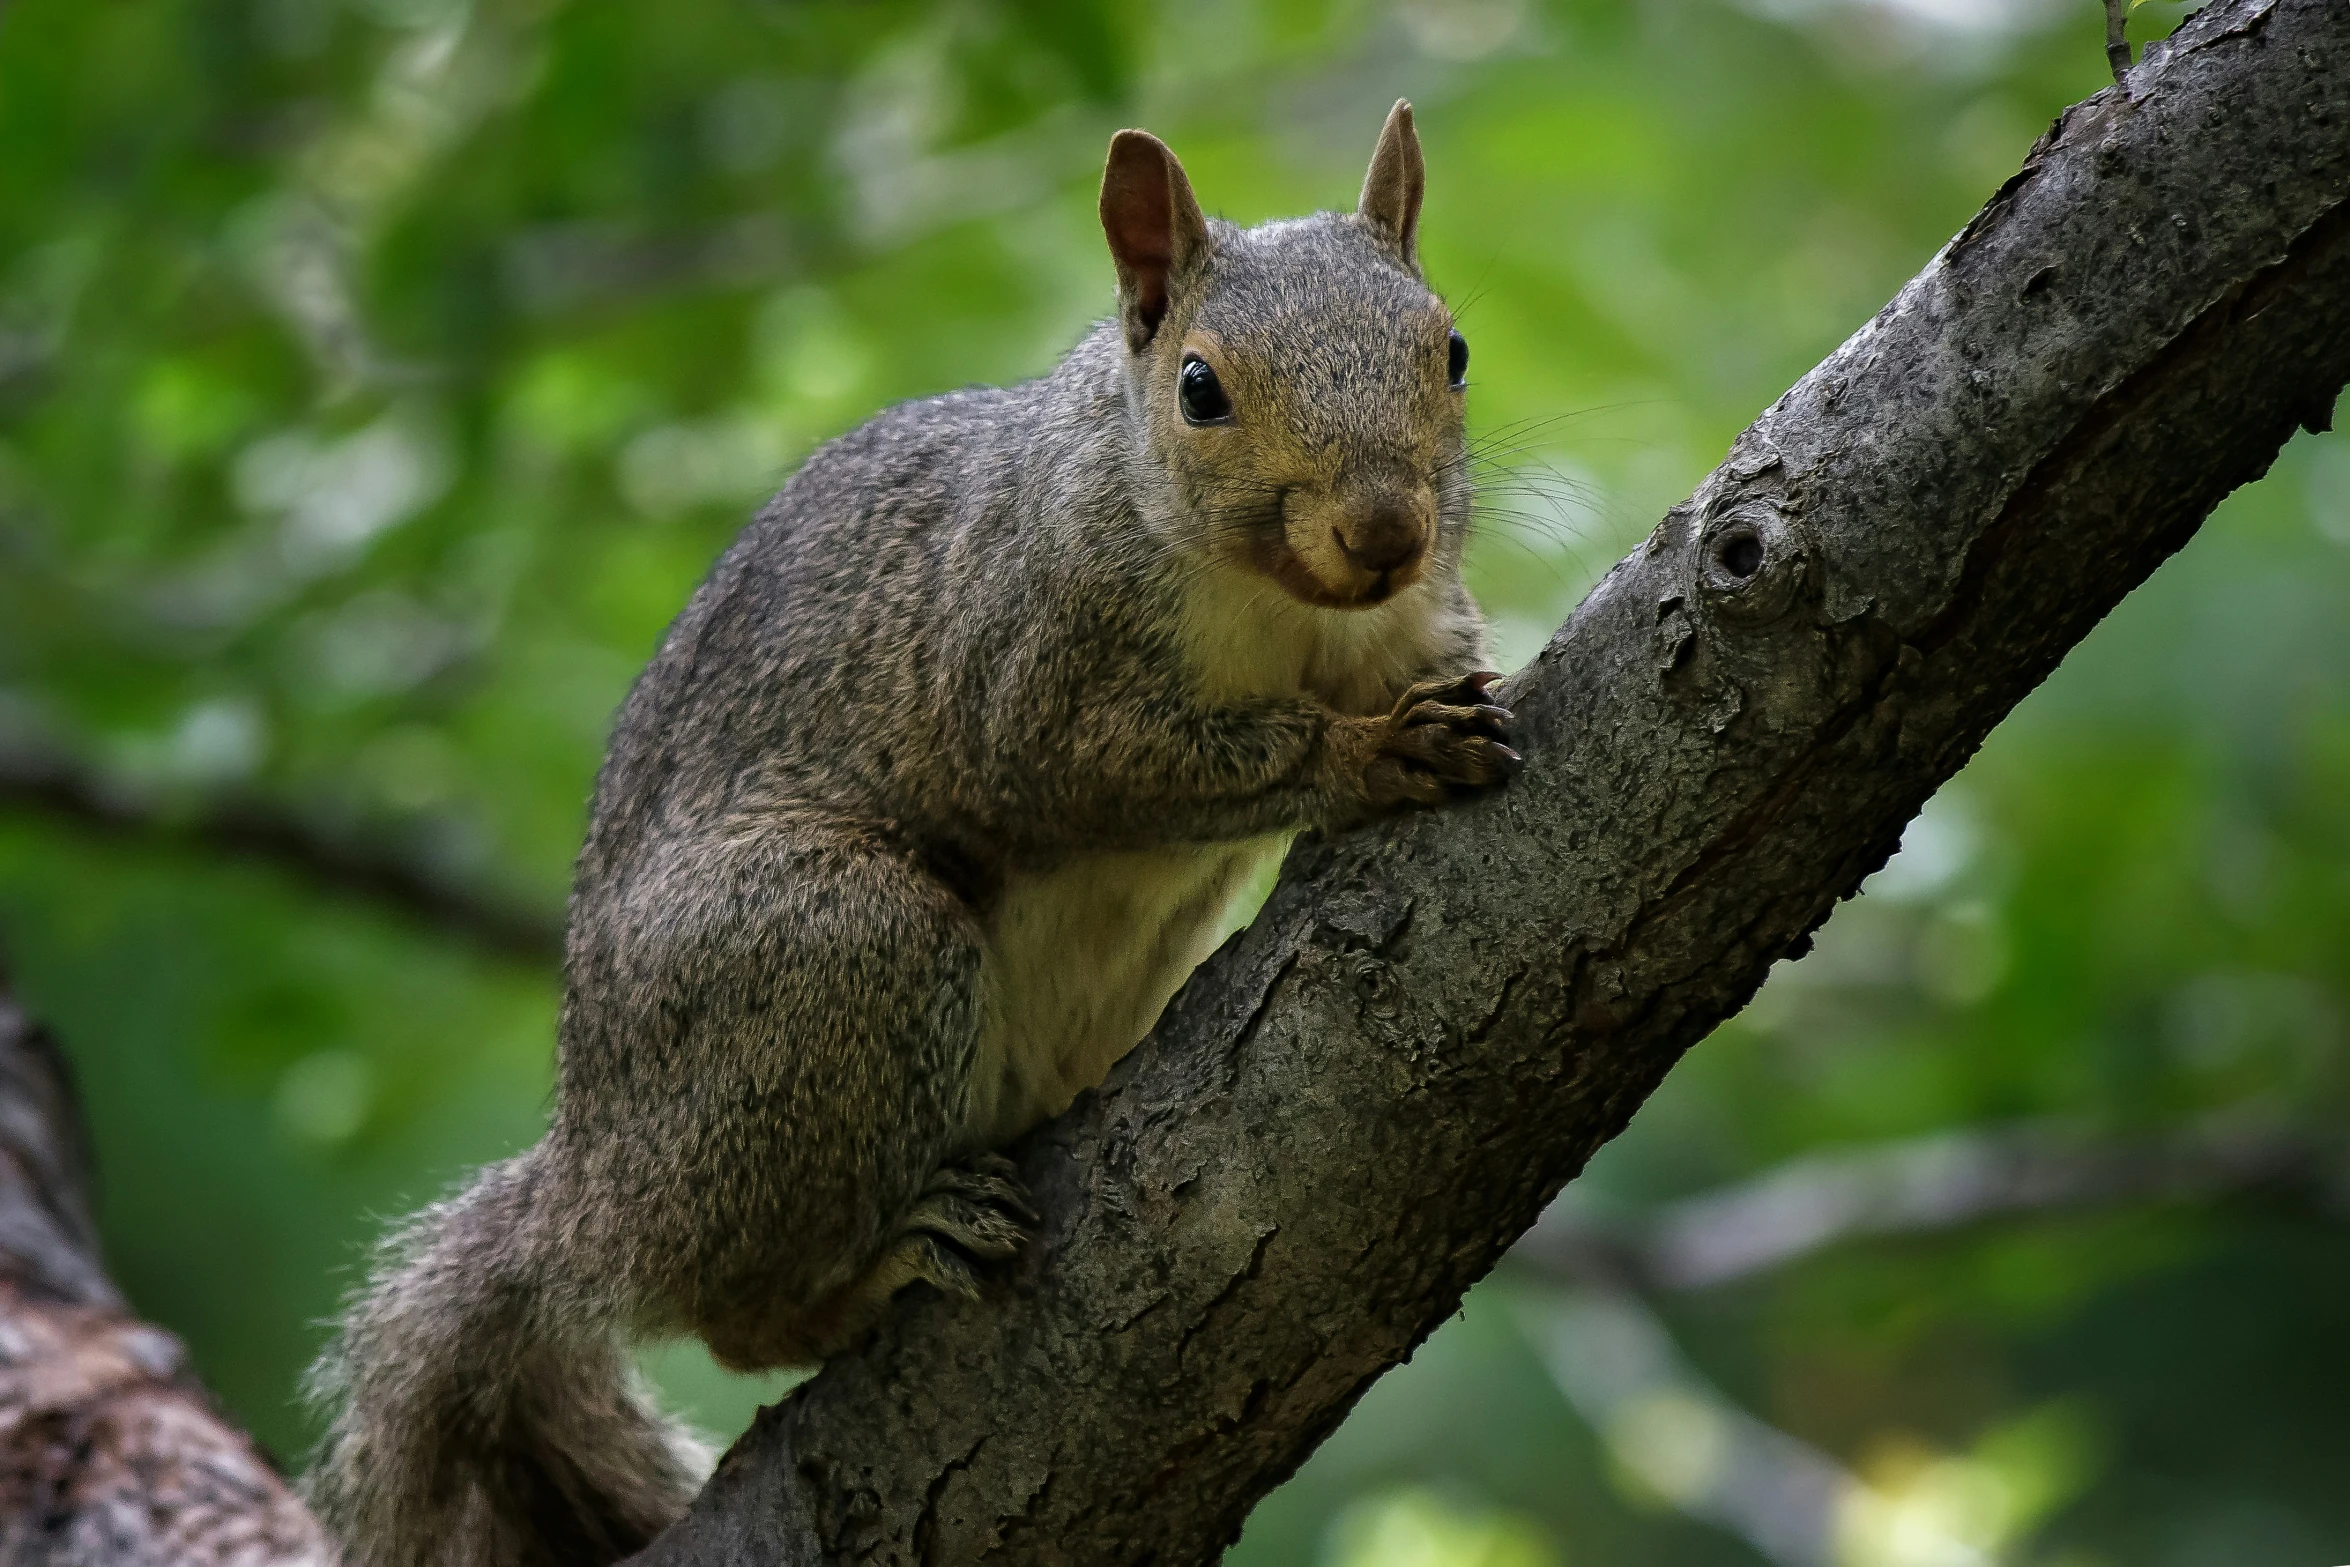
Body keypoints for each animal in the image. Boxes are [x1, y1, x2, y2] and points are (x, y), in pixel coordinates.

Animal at [303, 101, 1513, 1567]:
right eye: (1200, 389)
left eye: (1450, 352)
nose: (1383, 529)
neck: (1284, 610)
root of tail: (587, 1193)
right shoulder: (1017, 668)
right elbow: (1114, 764)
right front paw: (1364, 754)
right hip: (834, 954)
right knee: (736, 1312)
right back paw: (879, 1259)